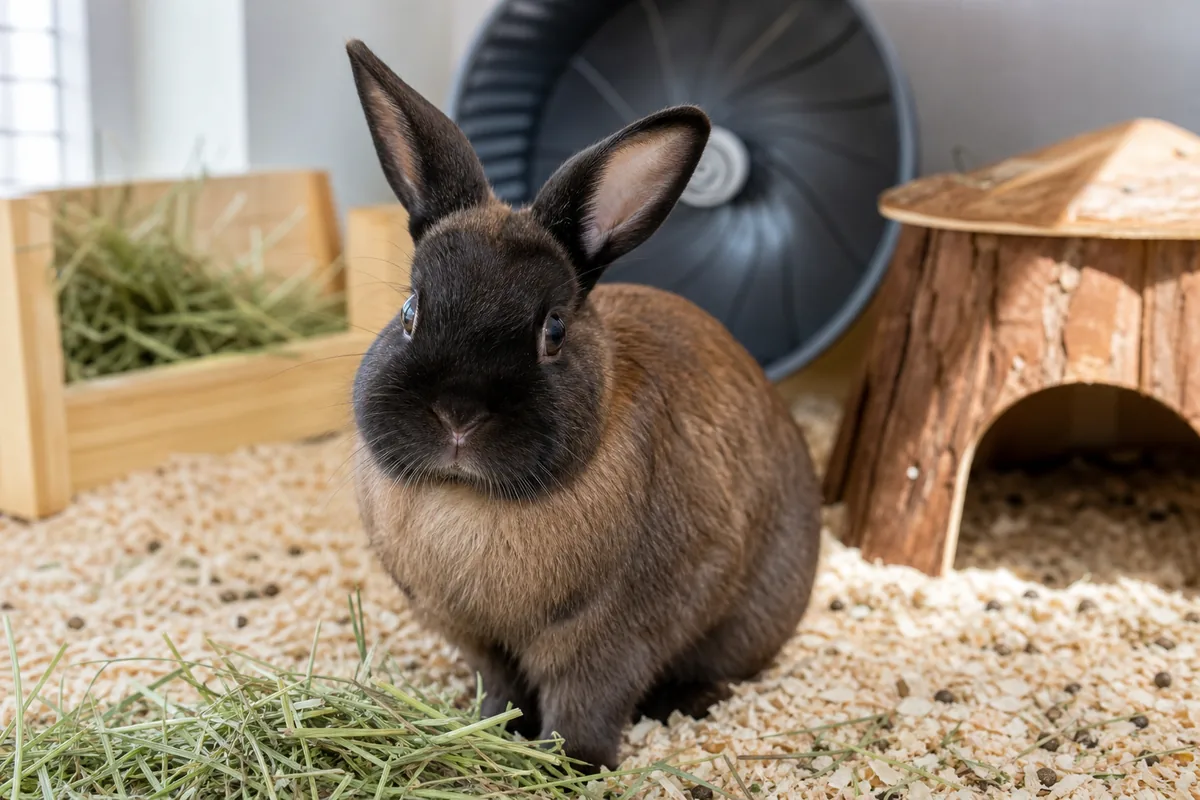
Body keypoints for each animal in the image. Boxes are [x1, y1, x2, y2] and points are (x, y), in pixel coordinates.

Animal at [345, 39, 822, 771]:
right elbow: (499, 686)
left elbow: (588, 701)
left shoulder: (616, 638)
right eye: (410, 311)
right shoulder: (478, 639)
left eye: (554, 329)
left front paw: (573, 763)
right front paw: (491, 728)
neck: (467, 499)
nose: (457, 414)